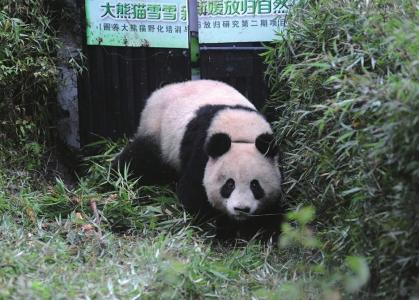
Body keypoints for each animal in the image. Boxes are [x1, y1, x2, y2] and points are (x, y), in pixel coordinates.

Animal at [114, 79, 286, 239]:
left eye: (255, 185)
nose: (241, 209)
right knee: (139, 160)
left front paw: (261, 230)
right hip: (158, 132)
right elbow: (192, 193)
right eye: (229, 184)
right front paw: (221, 228)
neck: (241, 134)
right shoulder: (201, 152)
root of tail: (161, 90)